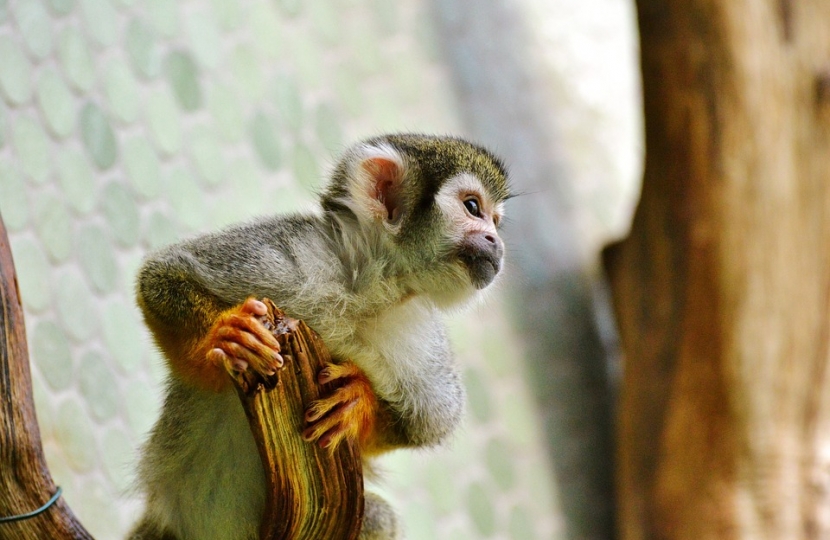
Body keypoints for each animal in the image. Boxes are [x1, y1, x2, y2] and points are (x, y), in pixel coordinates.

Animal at [127, 133, 511, 540]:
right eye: (473, 207)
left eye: (496, 221)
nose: (496, 243)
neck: (368, 286)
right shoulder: (292, 251)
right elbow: (163, 274)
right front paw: (226, 336)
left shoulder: (419, 329)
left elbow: (428, 423)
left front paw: (358, 402)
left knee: (378, 516)